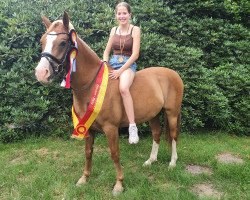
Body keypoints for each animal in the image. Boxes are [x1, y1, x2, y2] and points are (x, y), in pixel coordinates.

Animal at [34, 12, 184, 194]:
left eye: (63, 43)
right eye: (42, 41)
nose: (41, 73)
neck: (90, 85)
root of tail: (173, 73)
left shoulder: (111, 128)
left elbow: (114, 153)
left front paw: (119, 184)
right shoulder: (88, 128)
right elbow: (88, 152)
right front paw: (84, 178)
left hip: (172, 113)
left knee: (173, 135)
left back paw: (172, 163)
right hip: (153, 115)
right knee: (156, 134)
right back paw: (150, 161)